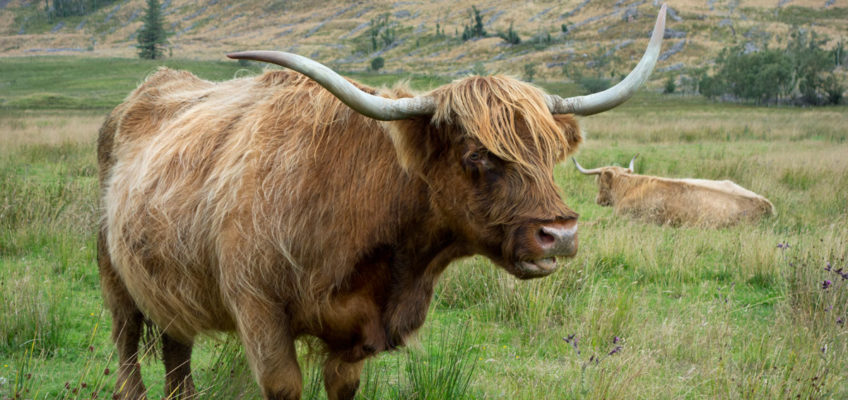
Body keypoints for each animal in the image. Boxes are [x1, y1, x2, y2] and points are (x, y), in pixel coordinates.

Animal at [568, 155, 776, 227]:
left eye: (599, 181)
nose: (598, 199)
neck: (629, 188)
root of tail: (766, 204)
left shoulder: (624, 218)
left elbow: (595, 221)